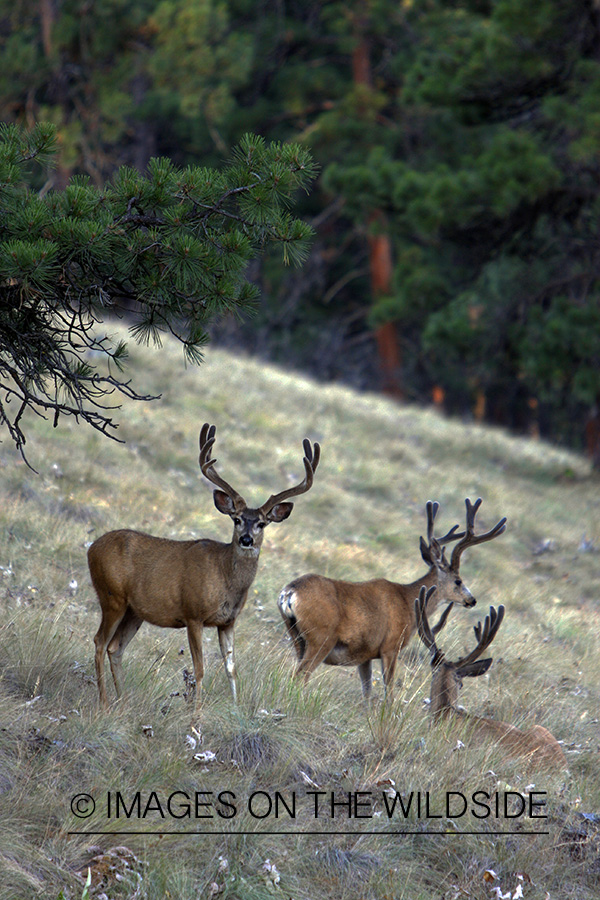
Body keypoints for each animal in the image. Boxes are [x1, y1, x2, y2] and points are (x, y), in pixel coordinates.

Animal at [89, 423, 320, 710]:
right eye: (236, 519)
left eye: (262, 523)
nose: (246, 540)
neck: (225, 578)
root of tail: (91, 547)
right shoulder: (193, 613)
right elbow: (199, 670)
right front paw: (196, 713)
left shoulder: (228, 622)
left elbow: (231, 669)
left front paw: (234, 708)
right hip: (112, 596)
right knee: (100, 642)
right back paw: (104, 702)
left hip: (134, 611)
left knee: (115, 648)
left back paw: (122, 701)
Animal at [278, 497, 506, 698]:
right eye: (458, 580)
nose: (472, 600)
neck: (408, 601)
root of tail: (289, 592)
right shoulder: (390, 646)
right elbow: (389, 691)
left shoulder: (366, 655)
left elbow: (367, 691)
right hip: (321, 638)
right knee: (300, 675)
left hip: (296, 635)